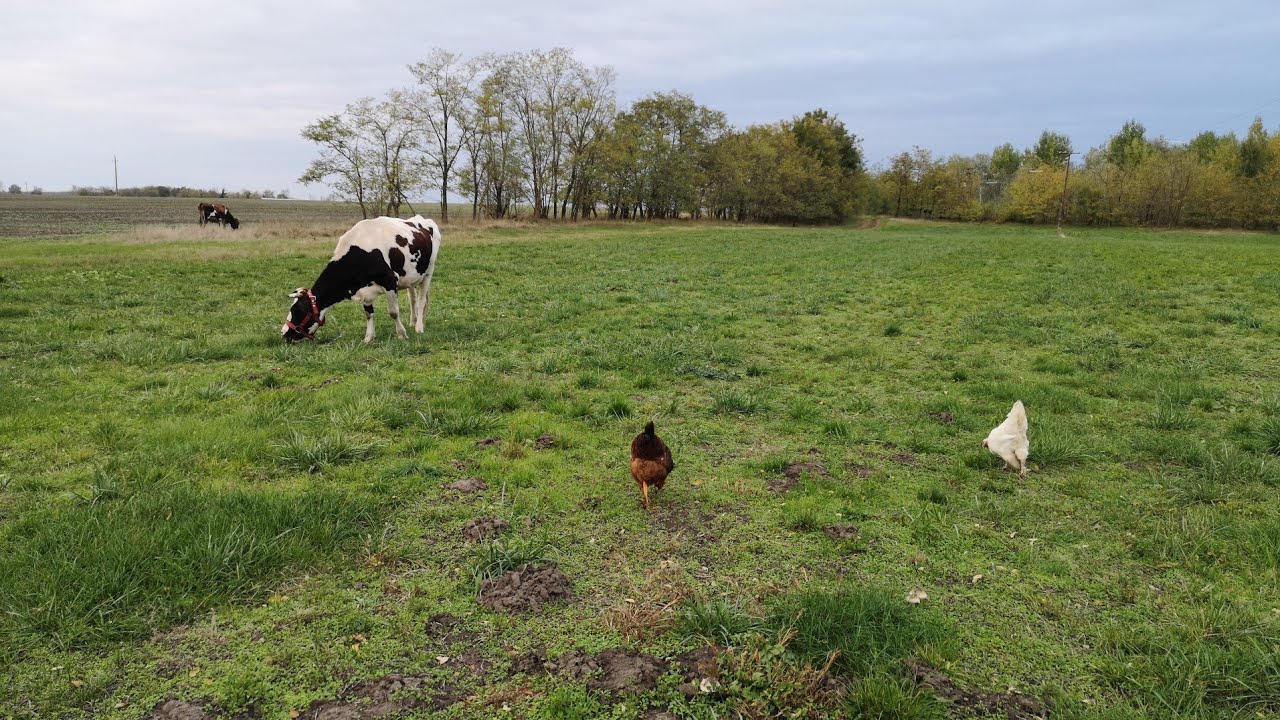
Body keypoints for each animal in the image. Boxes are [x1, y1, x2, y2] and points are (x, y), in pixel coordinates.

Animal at [282, 215, 440, 343]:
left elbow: (393, 312)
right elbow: (368, 313)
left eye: (297, 310)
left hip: (429, 271)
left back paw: (419, 327)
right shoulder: (365, 288)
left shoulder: (390, 281)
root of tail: (422, 219)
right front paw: (368, 337)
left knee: (421, 300)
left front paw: (401, 334)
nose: (283, 333)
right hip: (410, 277)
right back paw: (414, 322)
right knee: (412, 299)